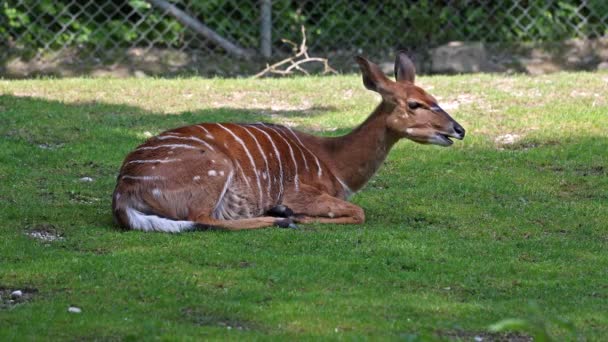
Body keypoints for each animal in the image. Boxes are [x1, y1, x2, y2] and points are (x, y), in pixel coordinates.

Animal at [113, 51, 466, 232]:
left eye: (433, 98)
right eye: (415, 104)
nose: (458, 129)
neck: (336, 162)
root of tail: (123, 191)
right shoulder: (301, 192)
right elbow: (358, 211)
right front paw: (293, 214)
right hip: (214, 168)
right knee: (203, 220)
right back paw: (280, 218)